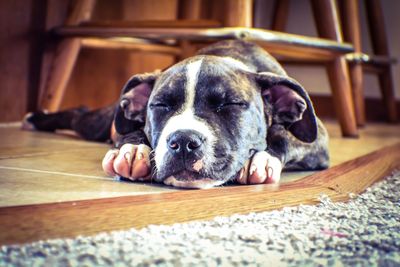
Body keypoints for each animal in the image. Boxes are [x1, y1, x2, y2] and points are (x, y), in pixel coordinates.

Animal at [25, 40, 332, 189]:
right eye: (160, 105)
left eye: (230, 104)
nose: (183, 141)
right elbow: (132, 131)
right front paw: (133, 151)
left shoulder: (318, 138)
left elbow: (281, 133)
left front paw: (261, 158)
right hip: (100, 121)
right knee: (80, 113)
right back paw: (35, 119)